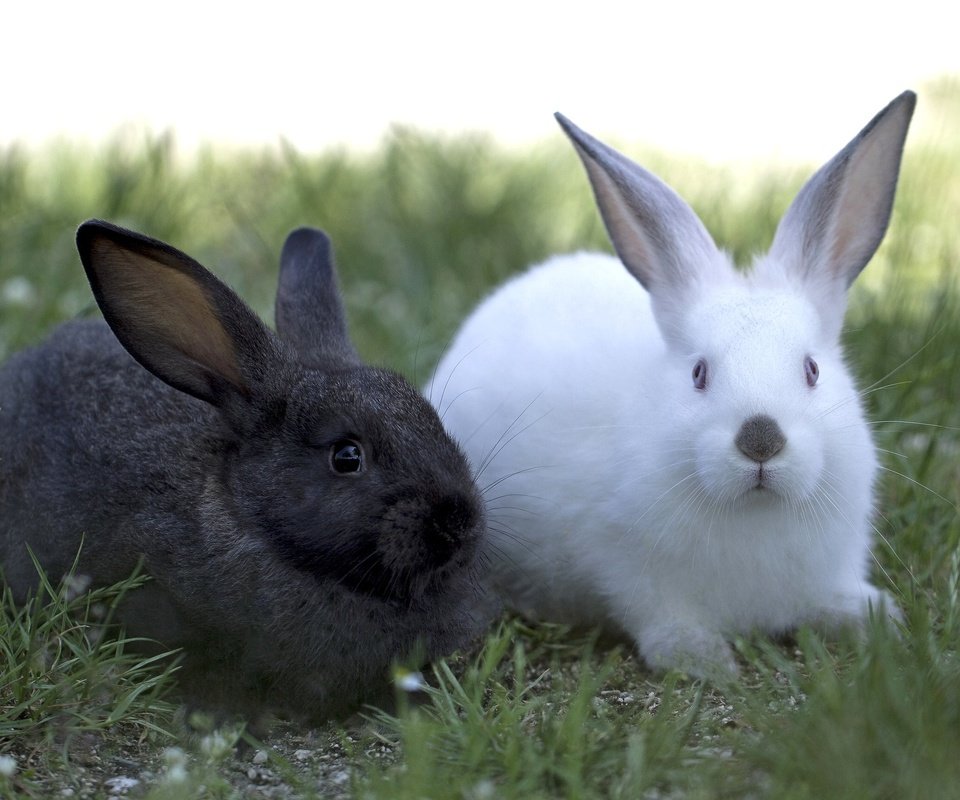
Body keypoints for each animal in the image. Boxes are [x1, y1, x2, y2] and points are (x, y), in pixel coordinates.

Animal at [432, 90, 920, 676]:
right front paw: (705, 661)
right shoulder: (631, 572)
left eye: (811, 370)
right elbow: (661, 619)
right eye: (699, 373)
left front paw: (873, 617)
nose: (761, 440)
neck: (755, 512)